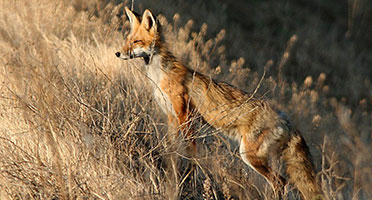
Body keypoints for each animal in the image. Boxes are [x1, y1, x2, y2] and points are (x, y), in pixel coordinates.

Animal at [117, 7, 322, 199]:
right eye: (127, 40)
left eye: (136, 42)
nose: (118, 53)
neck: (161, 75)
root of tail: (287, 120)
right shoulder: (171, 116)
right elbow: (173, 148)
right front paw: (172, 168)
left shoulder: (185, 115)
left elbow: (191, 152)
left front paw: (188, 179)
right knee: (282, 182)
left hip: (249, 155)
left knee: (281, 182)